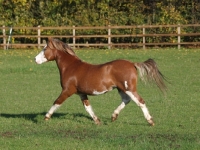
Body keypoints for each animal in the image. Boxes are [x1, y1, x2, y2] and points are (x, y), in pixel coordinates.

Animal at [34, 38, 166, 126]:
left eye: (45, 49)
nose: (35, 59)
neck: (71, 67)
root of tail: (132, 64)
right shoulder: (81, 93)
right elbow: (88, 107)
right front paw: (97, 121)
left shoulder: (67, 90)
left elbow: (57, 102)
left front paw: (45, 118)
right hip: (121, 88)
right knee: (126, 100)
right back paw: (113, 116)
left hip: (129, 88)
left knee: (140, 101)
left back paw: (150, 121)